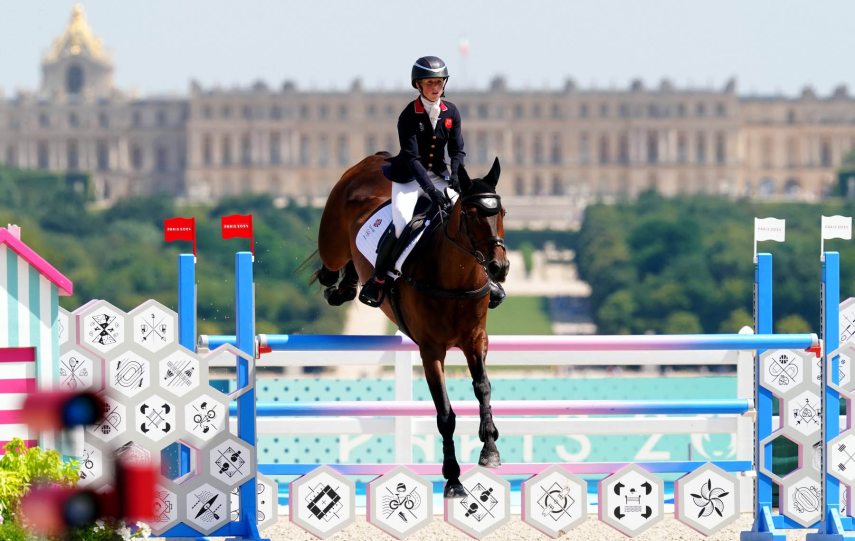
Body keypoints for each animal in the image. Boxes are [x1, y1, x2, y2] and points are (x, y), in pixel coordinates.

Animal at [318, 151, 512, 494]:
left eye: (500, 211)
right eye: (471, 213)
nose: (498, 268)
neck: (455, 279)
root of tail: (374, 159)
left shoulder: (476, 340)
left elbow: (483, 388)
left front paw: (490, 449)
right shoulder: (431, 350)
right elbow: (445, 413)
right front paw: (452, 478)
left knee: (351, 265)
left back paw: (349, 287)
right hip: (332, 244)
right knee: (329, 264)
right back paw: (338, 287)